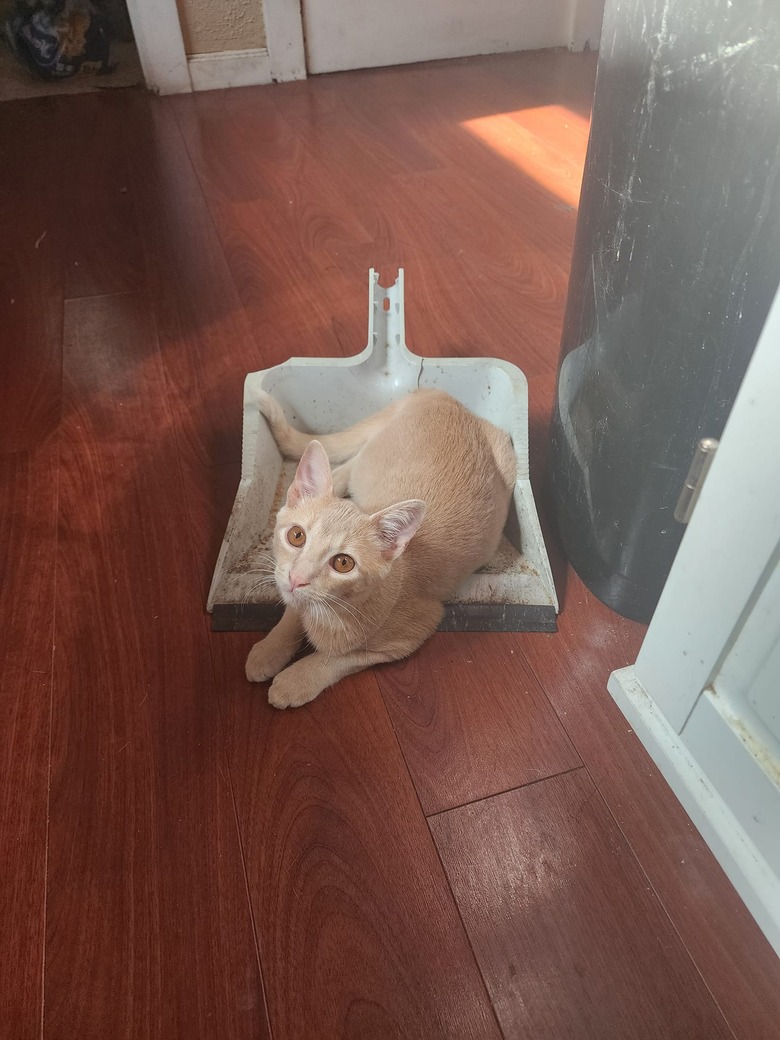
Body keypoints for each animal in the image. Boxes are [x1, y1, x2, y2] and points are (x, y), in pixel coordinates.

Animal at [247, 386, 515, 711]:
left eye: (343, 563)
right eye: (296, 536)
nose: (297, 579)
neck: (331, 610)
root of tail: (442, 396)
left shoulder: (414, 632)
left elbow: (340, 658)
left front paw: (296, 680)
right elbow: (291, 612)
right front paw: (269, 649)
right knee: (350, 463)